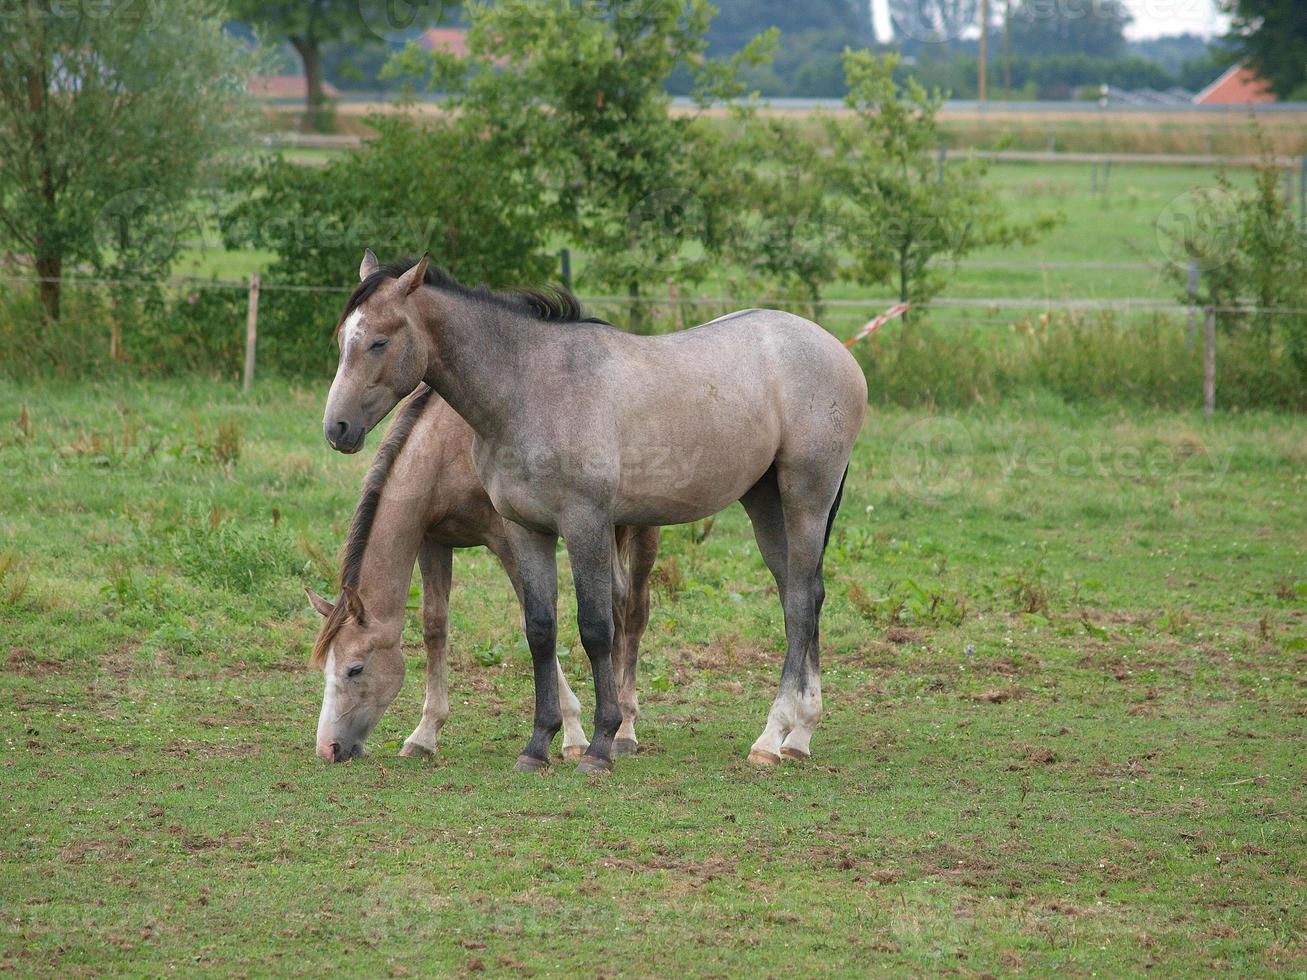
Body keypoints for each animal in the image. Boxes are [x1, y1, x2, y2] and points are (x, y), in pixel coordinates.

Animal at [303, 381, 653, 757]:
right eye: (325, 668)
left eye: (355, 669)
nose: (328, 748)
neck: (446, 447)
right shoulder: (433, 540)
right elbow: (434, 626)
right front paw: (425, 733)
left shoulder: (509, 540)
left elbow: (535, 621)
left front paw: (573, 734)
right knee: (616, 600)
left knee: (635, 611)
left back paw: (625, 729)